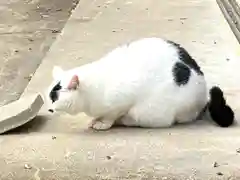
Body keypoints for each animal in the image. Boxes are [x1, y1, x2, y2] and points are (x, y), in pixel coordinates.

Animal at [45, 37, 234, 130]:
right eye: (49, 97)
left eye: (55, 98)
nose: (49, 108)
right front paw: (96, 120)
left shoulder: (121, 101)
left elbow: (111, 115)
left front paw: (103, 123)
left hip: (157, 112)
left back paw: (126, 121)